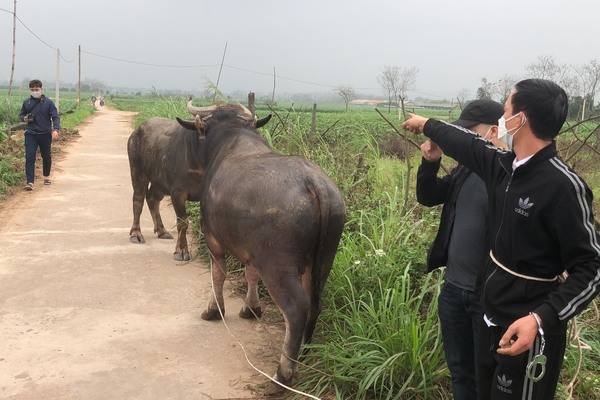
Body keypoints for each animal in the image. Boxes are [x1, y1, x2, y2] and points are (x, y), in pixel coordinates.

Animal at [125, 116, 205, 260]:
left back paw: (162, 231)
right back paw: (136, 234)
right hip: (137, 171)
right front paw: (181, 251)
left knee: (152, 198)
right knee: (138, 199)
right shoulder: (177, 193)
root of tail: (136, 131)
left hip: (159, 182)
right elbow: (183, 222)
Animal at [185, 101, 346, 392]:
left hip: (277, 267)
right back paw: (305, 352)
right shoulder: (253, 254)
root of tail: (313, 182)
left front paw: (214, 310)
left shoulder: (212, 238)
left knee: (296, 308)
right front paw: (251, 308)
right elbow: (250, 274)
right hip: (323, 261)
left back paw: (283, 374)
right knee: (315, 303)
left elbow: (218, 274)